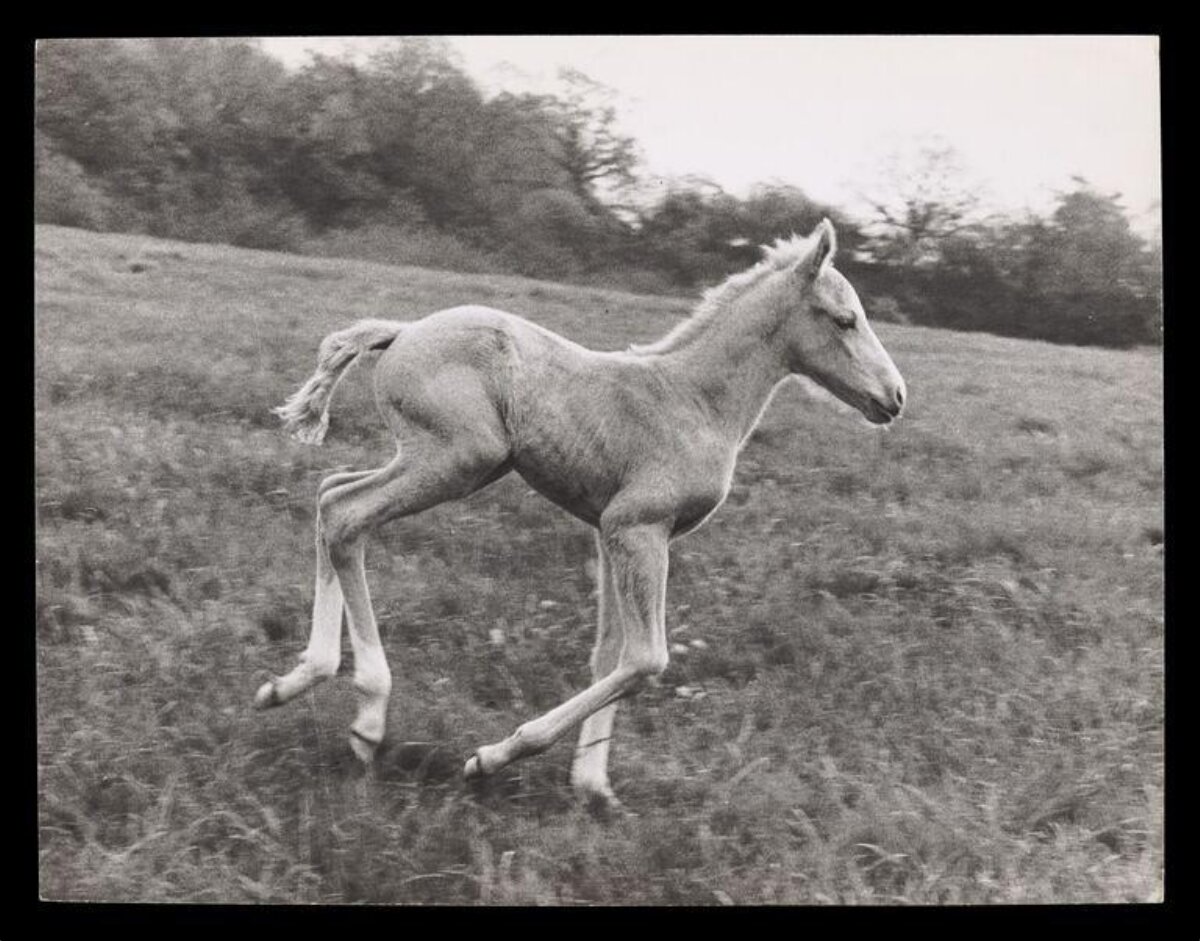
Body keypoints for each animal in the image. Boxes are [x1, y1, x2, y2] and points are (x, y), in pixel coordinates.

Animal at [255, 219, 906, 810]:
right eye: (844, 320)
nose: (895, 398)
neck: (695, 402)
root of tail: (404, 330)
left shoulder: (608, 532)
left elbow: (607, 654)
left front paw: (593, 787)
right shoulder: (639, 528)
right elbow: (645, 658)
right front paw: (494, 757)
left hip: (446, 461)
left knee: (331, 492)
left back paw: (294, 681)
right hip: (456, 459)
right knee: (347, 514)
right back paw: (367, 717)